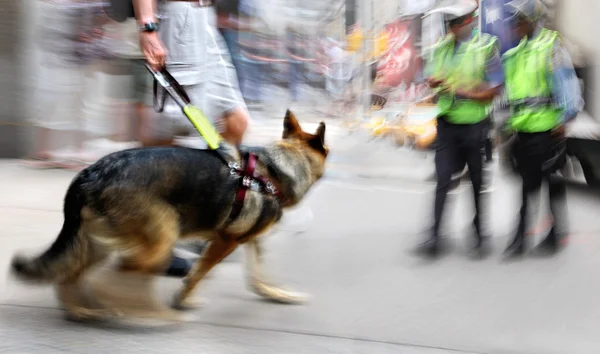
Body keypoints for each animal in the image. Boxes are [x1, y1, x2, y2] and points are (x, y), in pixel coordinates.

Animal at [10, 110, 328, 324]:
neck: (277, 168)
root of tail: (90, 173)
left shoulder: (247, 241)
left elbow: (258, 278)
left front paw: (279, 295)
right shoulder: (224, 241)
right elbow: (198, 273)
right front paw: (182, 300)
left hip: (96, 244)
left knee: (69, 277)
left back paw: (81, 311)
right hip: (160, 237)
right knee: (112, 276)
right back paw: (149, 313)